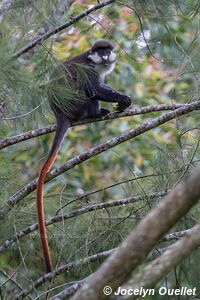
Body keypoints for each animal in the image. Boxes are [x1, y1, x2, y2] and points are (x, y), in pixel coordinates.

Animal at [36, 39, 131, 272]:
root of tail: (60, 114)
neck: (94, 61)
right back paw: (96, 113)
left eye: (108, 51)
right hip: (76, 105)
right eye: (100, 51)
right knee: (87, 93)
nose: (105, 57)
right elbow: (94, 89)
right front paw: (123, 98)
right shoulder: (88, 69)